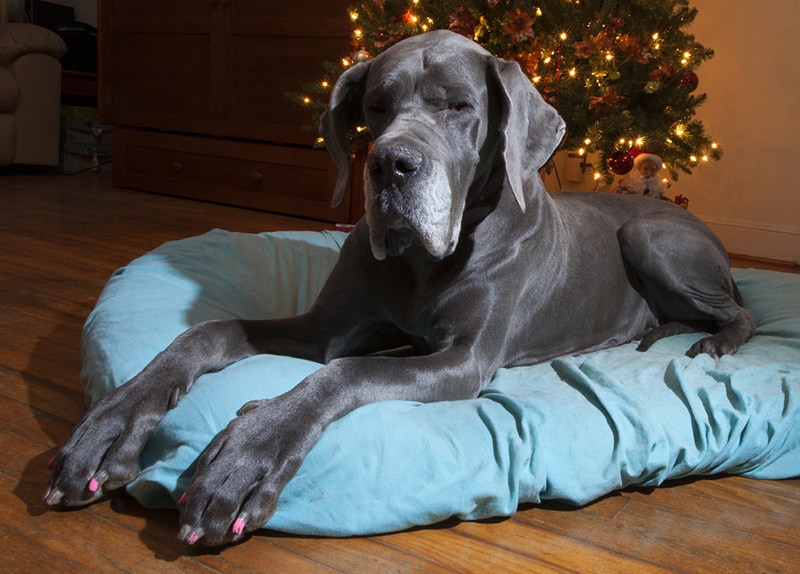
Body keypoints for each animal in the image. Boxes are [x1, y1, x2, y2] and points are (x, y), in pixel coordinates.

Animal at [45, 30, 756, 544]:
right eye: (376, 109)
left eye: (459, 107)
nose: (390, 165)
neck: (422, 262)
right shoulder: (325, 330)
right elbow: (211, 330)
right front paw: (108, 426)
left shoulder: (463, 359)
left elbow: (347, 373)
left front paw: (248, 451)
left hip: (647, 233)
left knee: (741, 311)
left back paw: (716, 344)